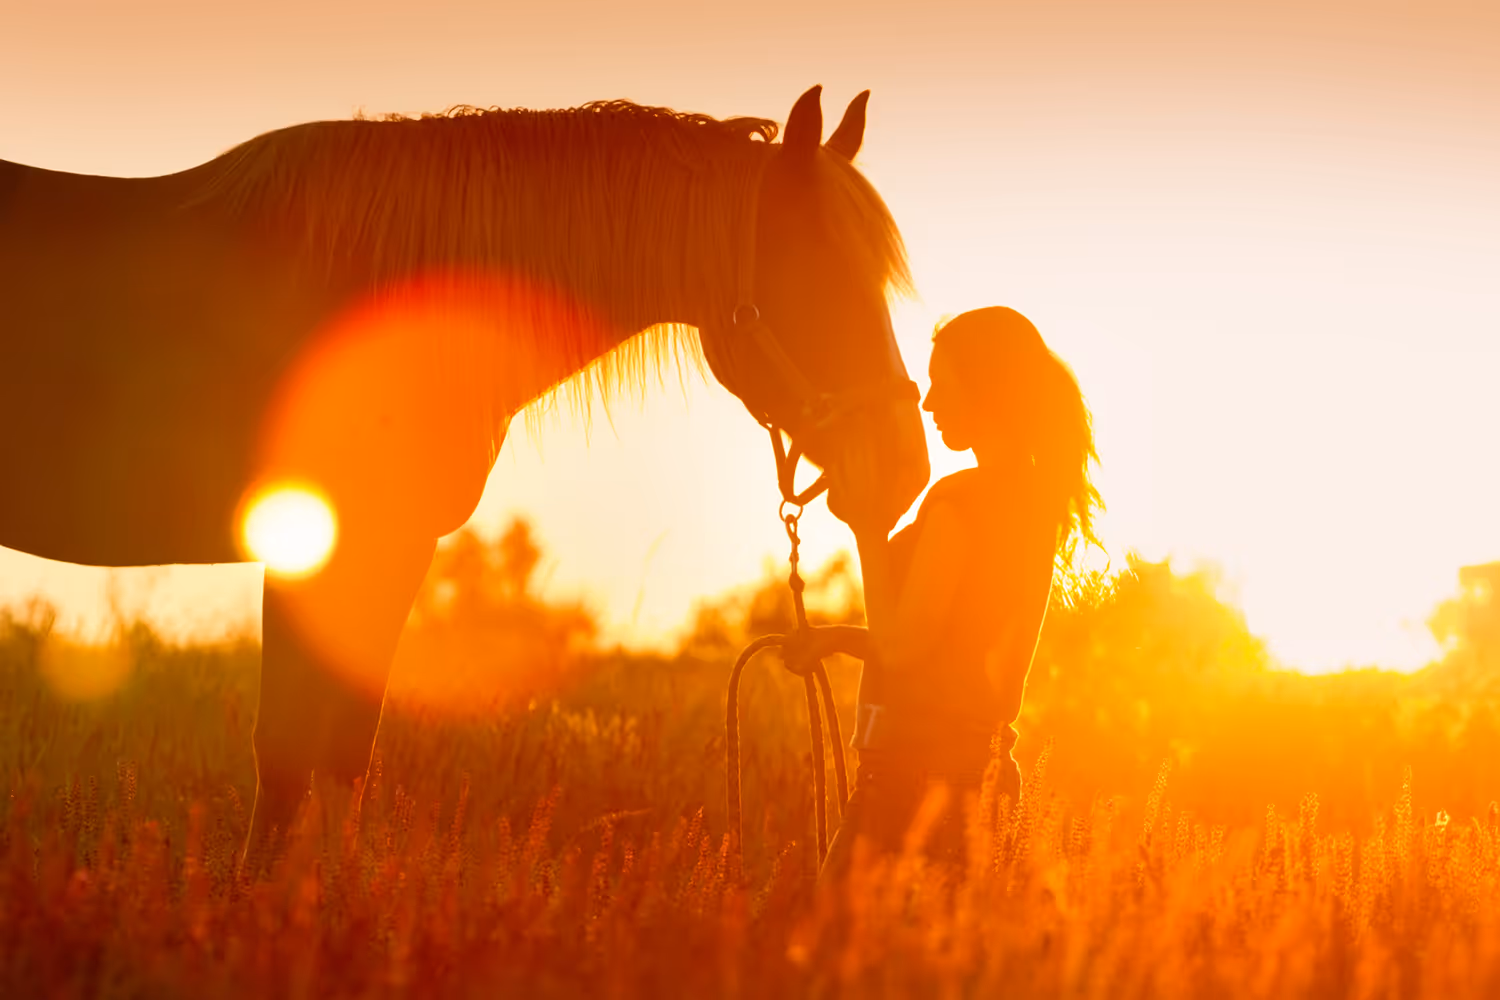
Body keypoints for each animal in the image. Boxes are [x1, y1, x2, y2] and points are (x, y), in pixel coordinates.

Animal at [0, 85, 930, 869]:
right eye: (817, 272)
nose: (903, 468)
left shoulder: (383, 550)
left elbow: (341, 756)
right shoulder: (332, 545)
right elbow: (289, 753)